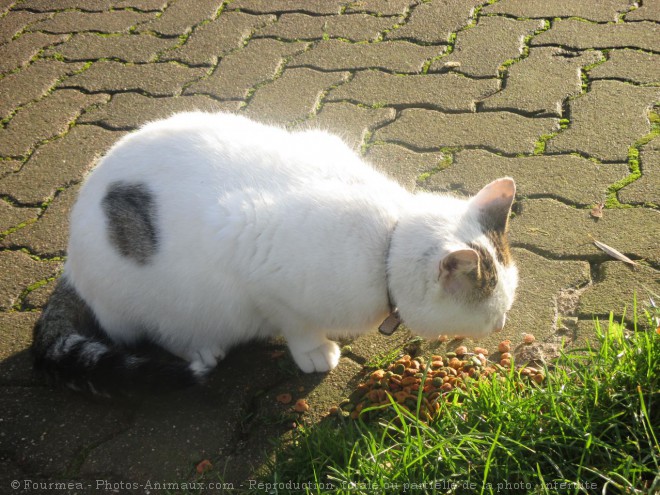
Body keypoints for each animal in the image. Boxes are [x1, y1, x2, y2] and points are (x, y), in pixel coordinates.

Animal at [32, 111, 516, 396]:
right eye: (491, 311)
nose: (502, 324)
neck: (386, 244)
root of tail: (70, 262)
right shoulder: (253, 260)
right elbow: (295, 321)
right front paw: (314, 350)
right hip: (155, 298)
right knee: (157, 329)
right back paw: (202, 349)